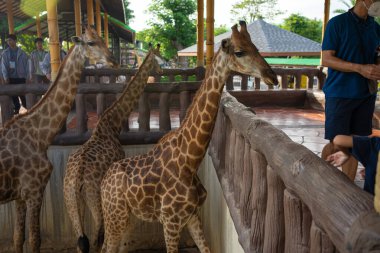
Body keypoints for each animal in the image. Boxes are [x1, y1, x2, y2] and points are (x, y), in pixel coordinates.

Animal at [0, 26, 117, 253]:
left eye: (102, 38)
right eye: (91, 43)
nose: (112, 60)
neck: (40, 134)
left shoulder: (20, 196)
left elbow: (18, 238)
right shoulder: (34, 191)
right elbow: (34, 240)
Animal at [62, 46, 162, 253]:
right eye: (159, 58)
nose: (161, 71)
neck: (112, 123)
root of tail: (77, 180)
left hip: (70, 200)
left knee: (81, 240)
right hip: (94, 199)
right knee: (96, 238)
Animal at [100, 21, 280, 253]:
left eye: (257, 48)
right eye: (240, 52)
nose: (272, 76)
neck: (190, 161)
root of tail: (103, 182)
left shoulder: (192, 215)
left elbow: (206, 249)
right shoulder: (171, 221)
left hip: (126, 218)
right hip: (115, 215)